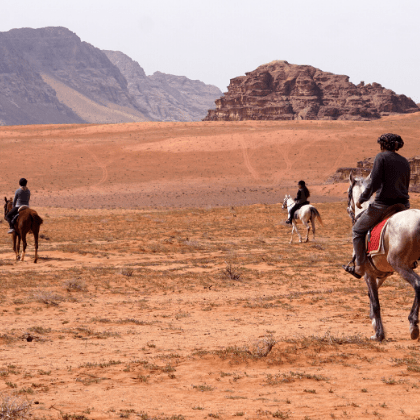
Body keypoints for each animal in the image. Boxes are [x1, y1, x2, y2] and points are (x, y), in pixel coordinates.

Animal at [346, 173, 420, 342]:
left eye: (348, 194)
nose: (349, 209)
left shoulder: (368, 273)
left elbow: (376, 302)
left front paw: (379, 334)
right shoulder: (382, 273)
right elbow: (371, 297)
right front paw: (374, 322)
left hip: (400, 265)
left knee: (418, 284)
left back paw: (413, 324)